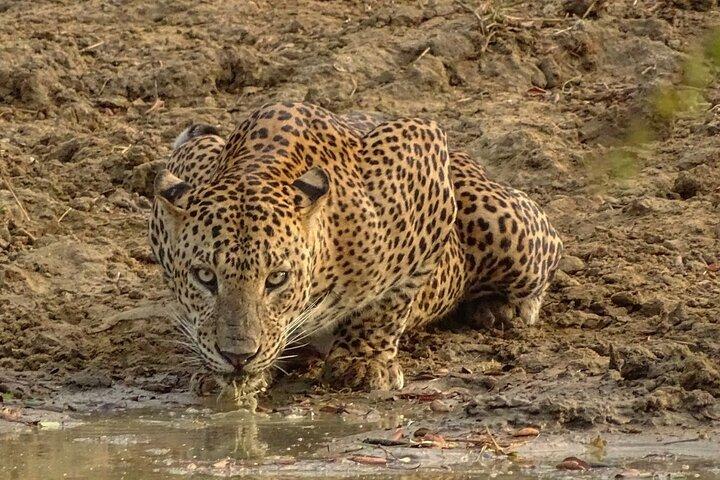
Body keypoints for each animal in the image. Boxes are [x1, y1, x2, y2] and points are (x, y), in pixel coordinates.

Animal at [149, 101, 563, 393]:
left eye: (277, 279)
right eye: (205, 277)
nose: (237, 356)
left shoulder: (424, 148)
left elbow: (389, 301)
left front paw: (363, 361)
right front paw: (212, 368)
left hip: (508, 229)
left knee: (549, 242)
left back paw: (503, 308)